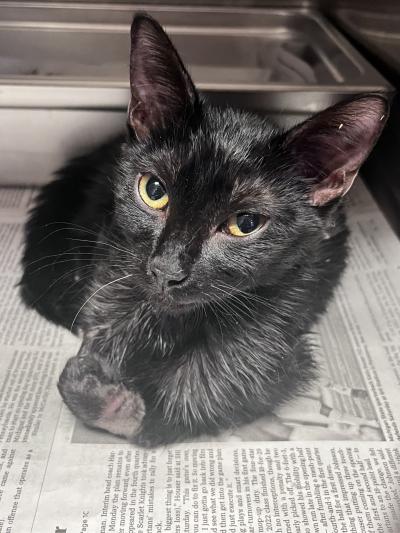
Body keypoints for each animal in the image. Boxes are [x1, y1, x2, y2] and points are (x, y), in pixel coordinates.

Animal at [19, 13, 388, 444]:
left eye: (245, 224)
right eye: (154, 191)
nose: (166, 270)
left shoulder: (280, 333)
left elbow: (192, 395)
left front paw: (118, 403)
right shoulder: (113, 267)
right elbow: (98, 328)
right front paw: (100, 368)